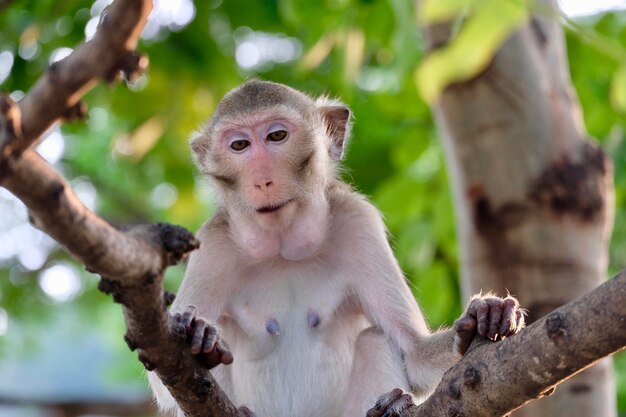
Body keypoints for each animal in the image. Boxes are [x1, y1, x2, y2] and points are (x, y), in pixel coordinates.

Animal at [146, 79, 520, 416]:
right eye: (239, 145)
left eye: (276, 136)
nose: (262, 179)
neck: (283, 245)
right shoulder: (213, 246)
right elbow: (164, 384)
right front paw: (196, 335)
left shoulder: (357, 223)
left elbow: (415, 354)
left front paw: (480, 318)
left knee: (375, 338)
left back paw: (391, 405)